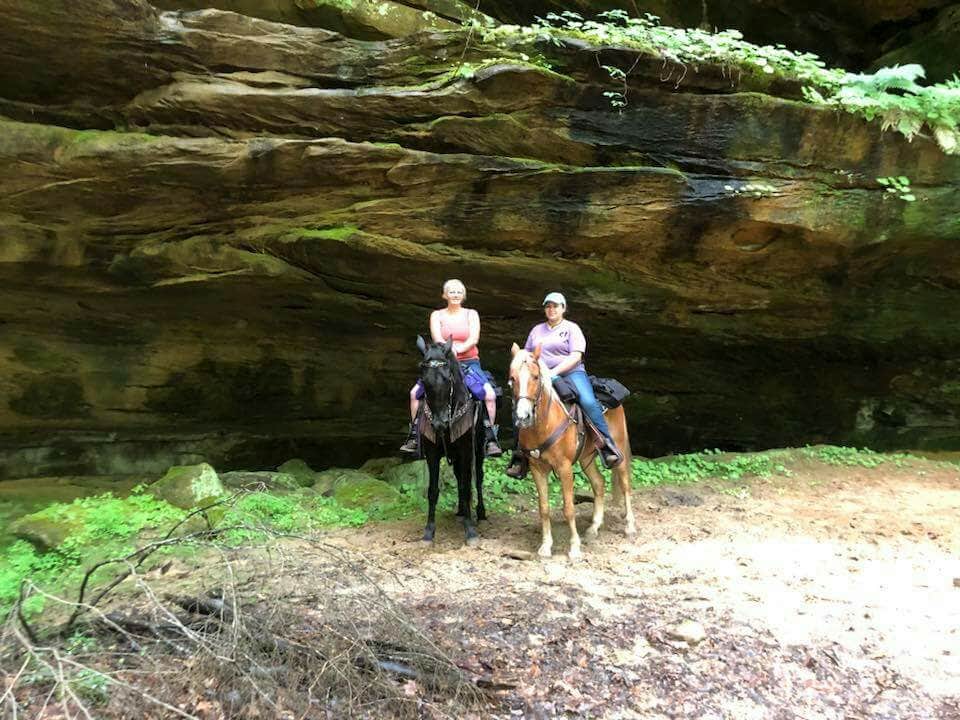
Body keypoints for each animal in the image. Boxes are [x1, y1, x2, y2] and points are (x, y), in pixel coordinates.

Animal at [414, 338, 484, 544]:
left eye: (447, 379)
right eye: (424, 381)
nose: (440, 423)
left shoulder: (466, 450)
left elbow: (467, 486)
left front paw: (470, 532)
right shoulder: (432, 453)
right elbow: (433, 490)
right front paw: (429, 531)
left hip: (479, 449)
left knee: (478, 478)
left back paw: (480, 512)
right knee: (459, 476)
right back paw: (461, 512)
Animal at [510, 344, 636, 564]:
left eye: (535, 376)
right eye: (513, 378)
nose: (522, 417)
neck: (544, 424)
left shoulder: (564, 467)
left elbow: (569, 508)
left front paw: (575, 549)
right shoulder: (537, 468)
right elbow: (544, 508)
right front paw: (545, 546)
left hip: (618, 451)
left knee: (625, 485)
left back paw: (629, 526)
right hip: (586, 459)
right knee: (599, 483)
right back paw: (594, 528)